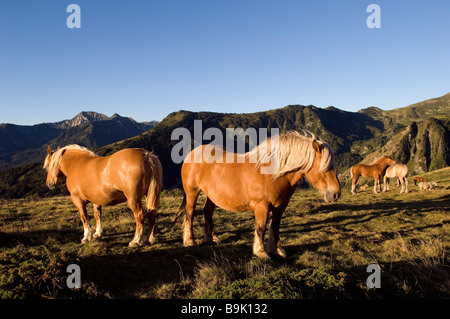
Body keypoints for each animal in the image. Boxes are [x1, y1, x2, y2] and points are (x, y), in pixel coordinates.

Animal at [174, 131, 340, 258]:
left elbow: (275, 227)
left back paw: (211, 239)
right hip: (192, 192)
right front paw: (261, 252)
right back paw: (190, 241)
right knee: (189, 214)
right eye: (324, 167)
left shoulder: (280, 207)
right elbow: (260, 228)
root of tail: (191, 154)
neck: (272, 173)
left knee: (207, 212)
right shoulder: (262, 206)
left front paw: (277, 250)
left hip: (212, 195)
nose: (335, 194)